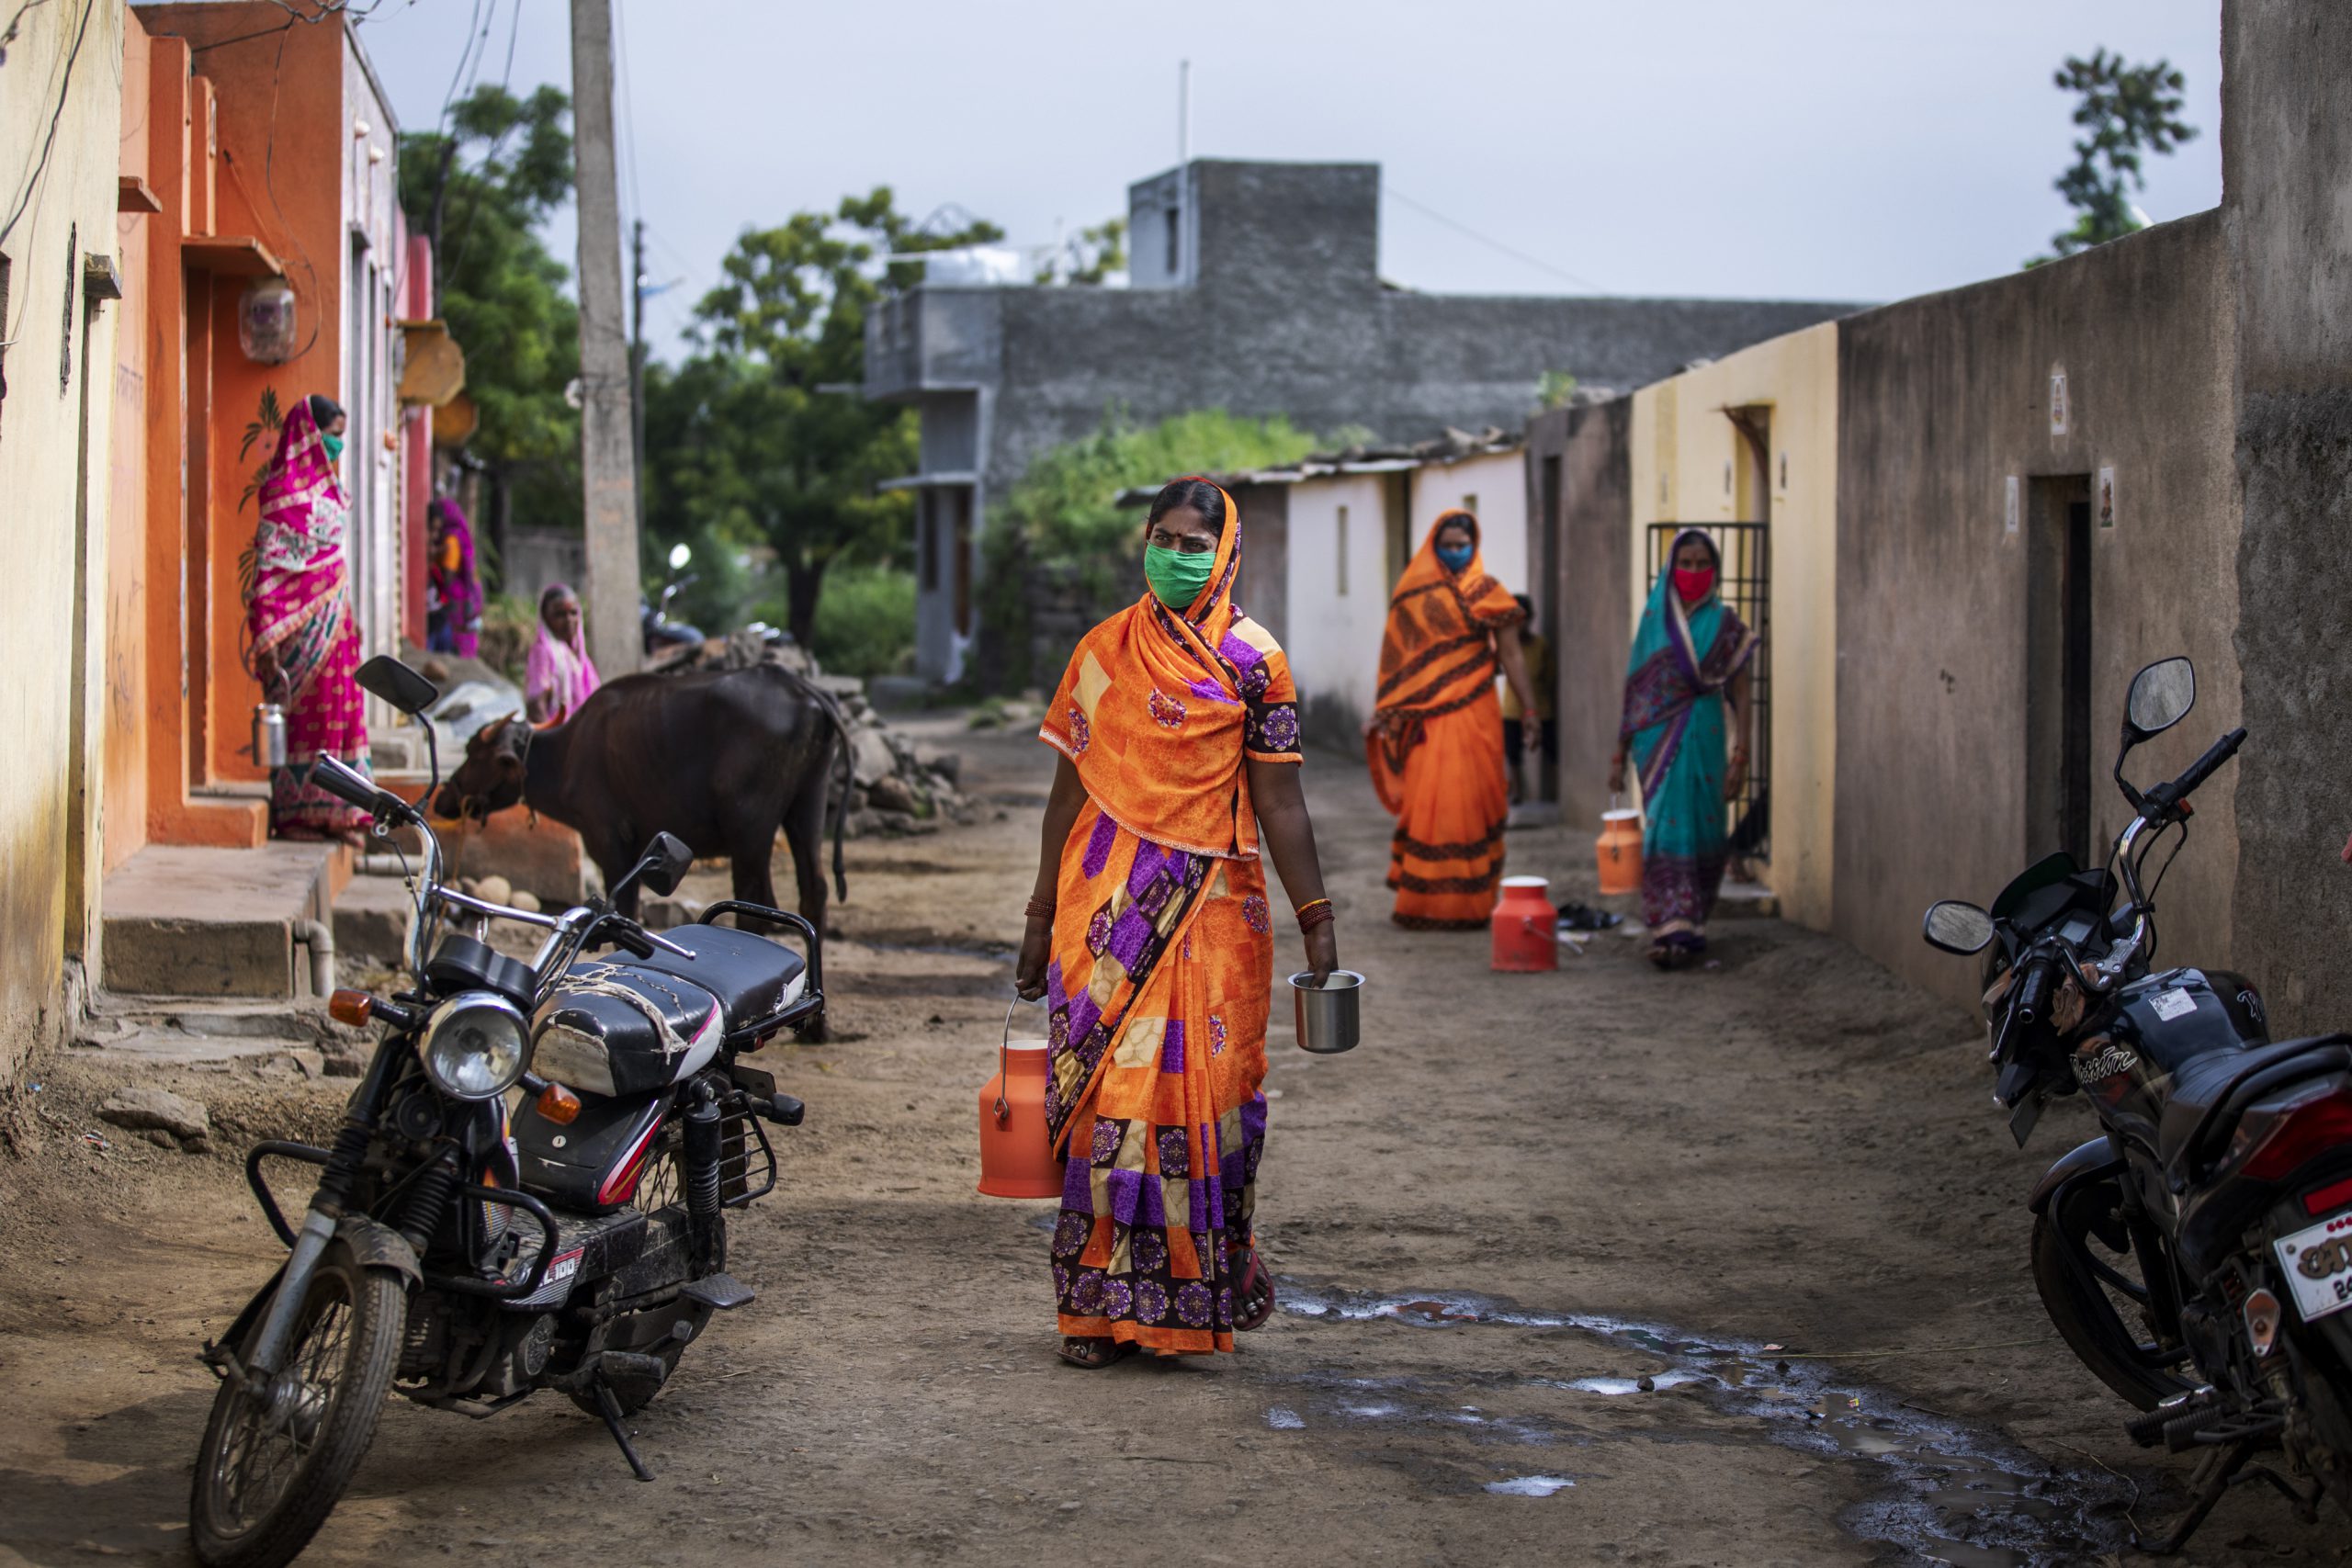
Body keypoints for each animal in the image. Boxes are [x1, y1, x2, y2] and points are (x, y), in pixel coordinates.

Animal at [437, 667, 851, 926]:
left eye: (474, 752)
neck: (565, 754)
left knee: (755, 906)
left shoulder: (608, 841)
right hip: (807, 805)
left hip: (749, 829)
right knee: (814, 892)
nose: (443, 796)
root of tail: (799, 687)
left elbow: (620, 911)